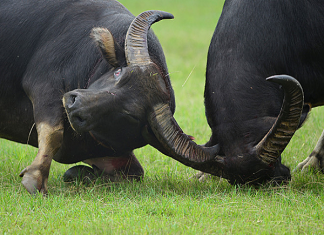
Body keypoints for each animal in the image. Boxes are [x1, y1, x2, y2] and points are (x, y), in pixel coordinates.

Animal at [0, 0, 218, 195]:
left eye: (131, 115)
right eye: (119, 72)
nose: (74, 106)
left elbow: (135, 173)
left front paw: (80, 174)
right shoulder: (45, 88)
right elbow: (54, 132)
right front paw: (36, 177)